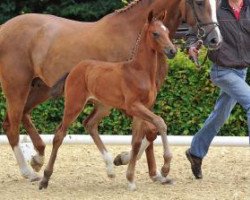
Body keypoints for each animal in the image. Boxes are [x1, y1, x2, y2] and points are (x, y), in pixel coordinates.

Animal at [39, 12, 176, 191]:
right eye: (155, 33)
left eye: (167, 31)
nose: (172, 50)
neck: (140, 72)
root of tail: (75, 69)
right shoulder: (134, 106)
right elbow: (160, 122)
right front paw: (165, 167)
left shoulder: (141, 109)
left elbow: (136, 142)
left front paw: (130, 179)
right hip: (74, 105)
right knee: (59, 135)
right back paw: (45, 178)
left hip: (103, 107)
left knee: (89, 124)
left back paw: (110, 168)